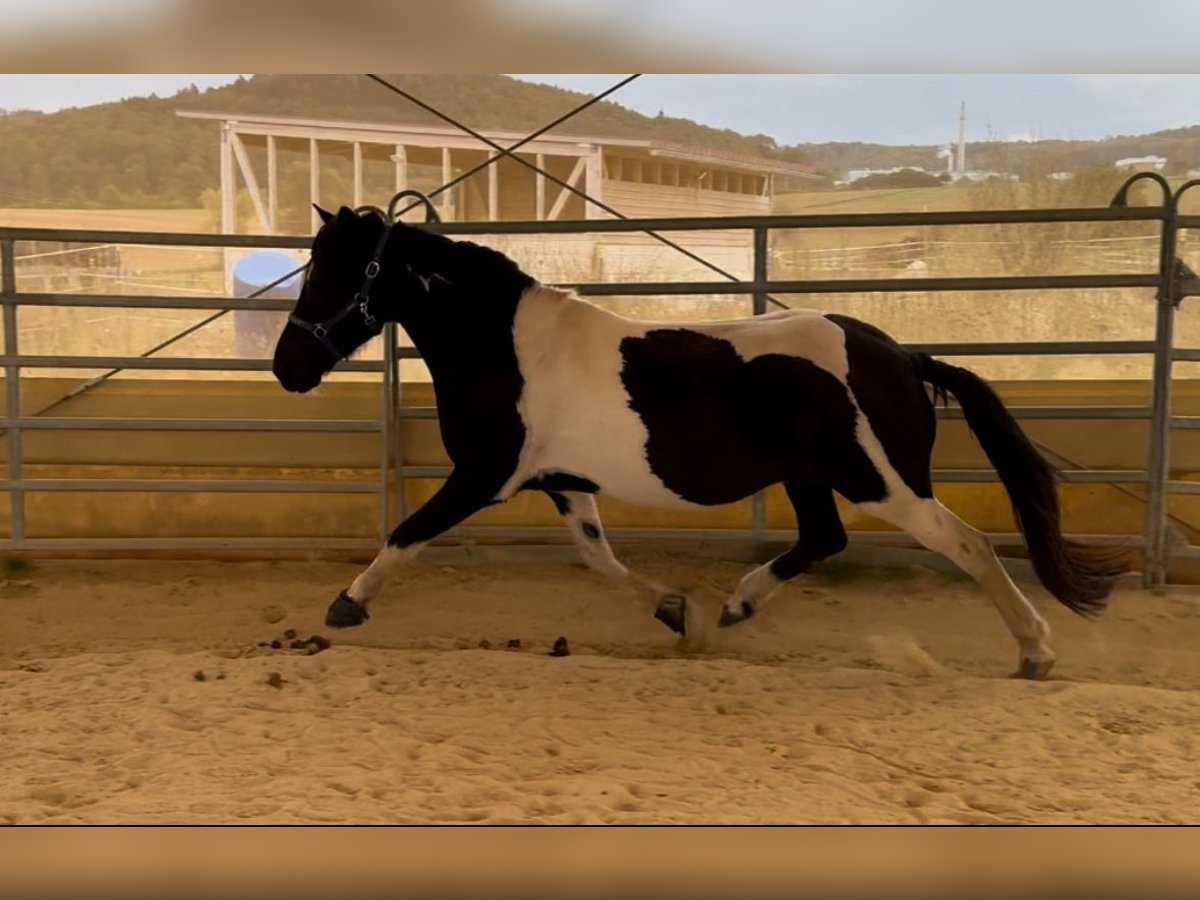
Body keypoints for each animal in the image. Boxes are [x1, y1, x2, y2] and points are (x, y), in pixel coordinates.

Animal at [270, 204, 1123, 681]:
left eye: (334, 273)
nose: (287, 367)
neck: (506, 346)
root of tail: (901, 355)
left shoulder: (485, 475)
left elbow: (407, 532)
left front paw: (346, 606)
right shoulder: (560, 480)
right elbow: (598, 558)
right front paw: (677, 612)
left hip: (881, 481)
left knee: (968, 544)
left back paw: (1036, 651)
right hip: (810, 476)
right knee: (824, 539)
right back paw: (737, 605)